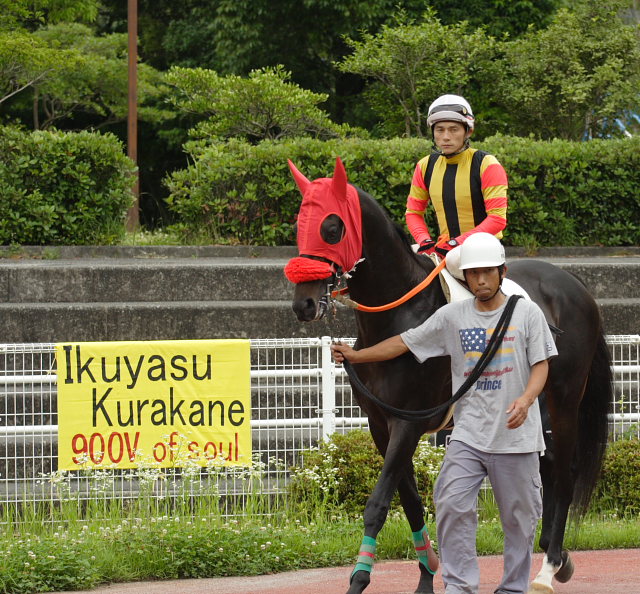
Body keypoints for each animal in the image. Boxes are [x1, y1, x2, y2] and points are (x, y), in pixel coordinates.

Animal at [288, 157, 612, 592]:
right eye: (299, 224)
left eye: (332, 227)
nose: (304, 303)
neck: (398, 316)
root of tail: (574, 282)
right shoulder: (381, 424)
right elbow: (409, 501)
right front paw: (428, 573)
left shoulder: (409, 422)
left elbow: (378, 502)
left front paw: (359, 578)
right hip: (531, 404)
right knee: (545, 465)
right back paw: (552, 554)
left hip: (564, 397)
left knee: (564, 469)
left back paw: (548, 566)